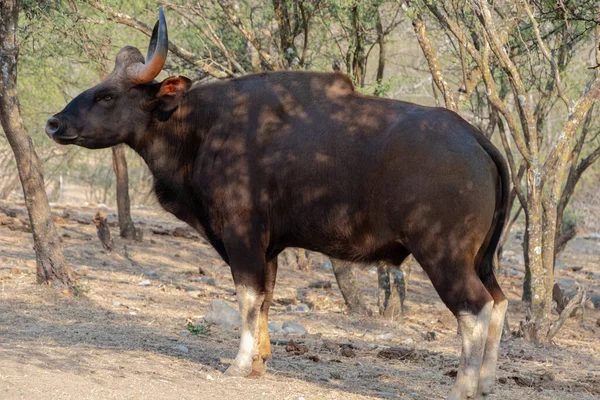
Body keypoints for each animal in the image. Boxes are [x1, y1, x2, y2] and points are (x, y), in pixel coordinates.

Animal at [44, 7, 508, 398]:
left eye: (107, 96)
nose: (53, 122)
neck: (202, 128)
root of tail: (474, 138)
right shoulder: (269, 247)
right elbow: (264, 298)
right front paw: (259, 362)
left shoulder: (241, 234)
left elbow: (248, 296)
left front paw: (238, 363)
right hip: (482, 258)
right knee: (499, 300)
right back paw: (485, 383)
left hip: (443, 254)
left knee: (475, 307)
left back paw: (463, 388)